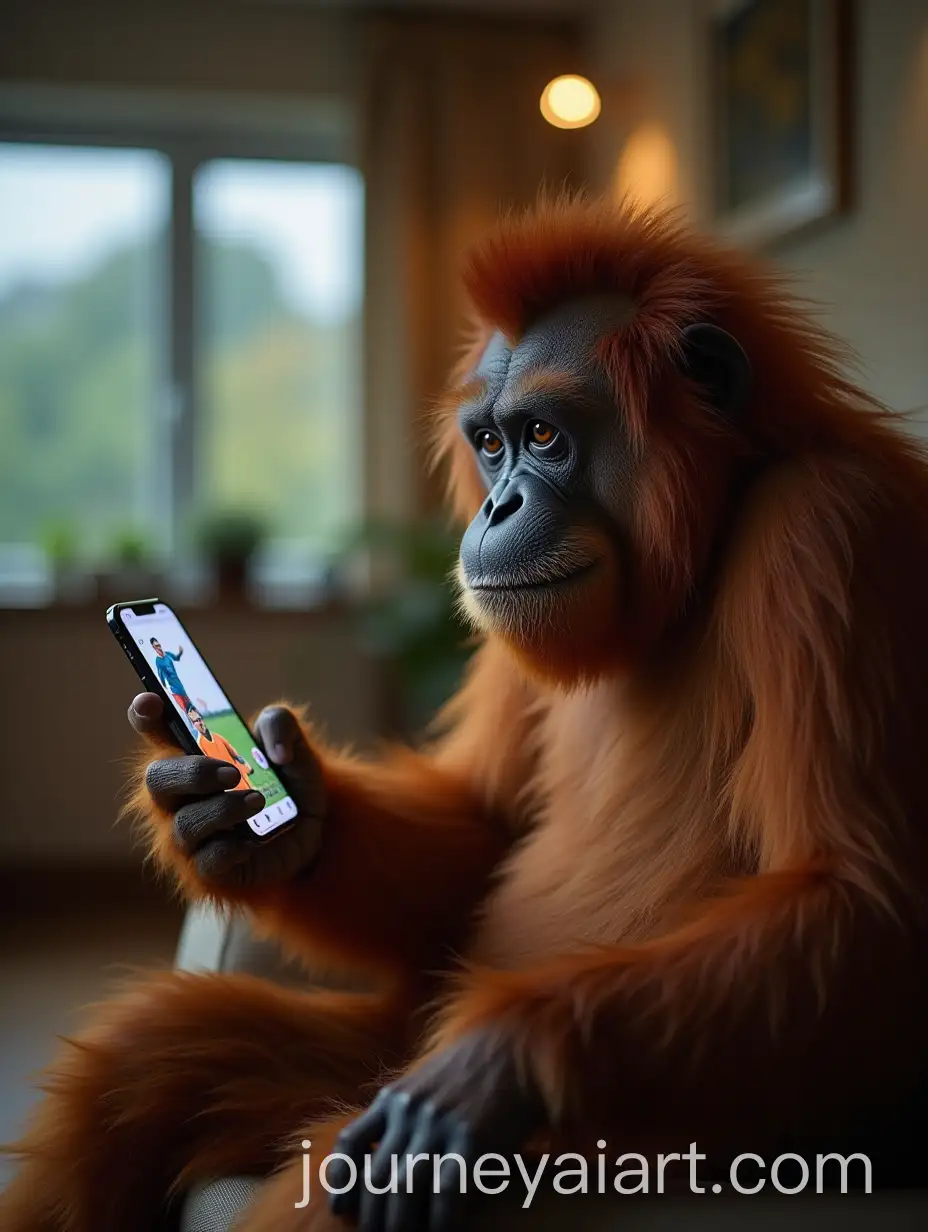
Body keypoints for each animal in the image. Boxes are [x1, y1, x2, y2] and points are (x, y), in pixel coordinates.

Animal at [4, 196, 928, 1232]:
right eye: (490, 444)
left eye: (544, 436)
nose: (496, 508)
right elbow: (483, 833)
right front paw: (253, 816)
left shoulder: (831, 534)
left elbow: (862, 903)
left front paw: (504, 1061)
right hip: (382, 1038)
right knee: (157, 1055)